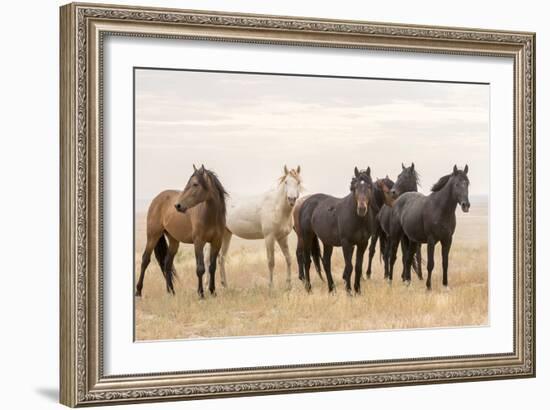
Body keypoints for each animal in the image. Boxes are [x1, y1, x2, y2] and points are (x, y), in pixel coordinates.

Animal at [136, 164, 229, 298]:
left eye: (195, 184)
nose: (178, 206)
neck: (211, 216)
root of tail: (157, 198)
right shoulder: (198, 242)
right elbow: (200, 268)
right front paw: (201, 294)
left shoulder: (217, 242)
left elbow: (212, 267)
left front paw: (212, 292)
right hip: (153, 236)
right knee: (145, 260)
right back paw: (138, 292)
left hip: (174, 240)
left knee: (167, 264)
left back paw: (171, 292)